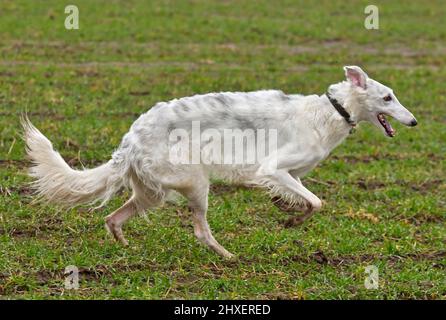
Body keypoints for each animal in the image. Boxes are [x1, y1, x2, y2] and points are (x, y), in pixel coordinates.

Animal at [22, 66, 416, 258]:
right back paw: (227, 255)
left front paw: (284, 206)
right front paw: (292, 218)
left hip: (151, 193)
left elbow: (304, 197)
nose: (413, 122)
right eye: (388, 97)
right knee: (200, 230)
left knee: (112, 218)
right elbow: (316, 202)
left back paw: (125, 248)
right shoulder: (273, 167)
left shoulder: (292, 173)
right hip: (195, 182)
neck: (332, 110)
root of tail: (129, 140)